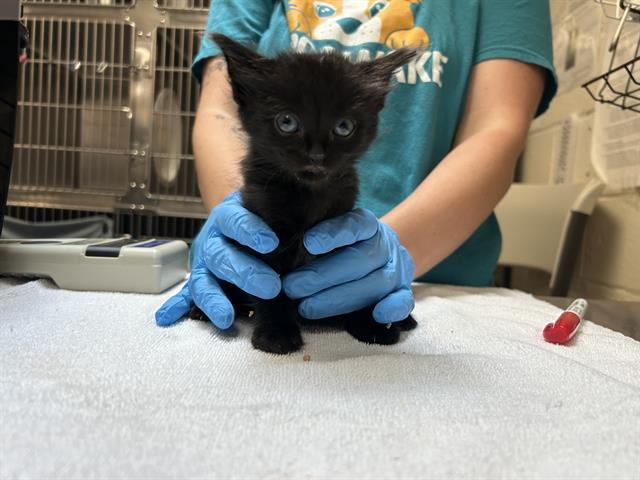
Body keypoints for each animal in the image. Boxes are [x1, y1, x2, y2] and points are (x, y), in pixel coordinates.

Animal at [192, 34, 418, 352]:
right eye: (287, 122)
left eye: (344, 126)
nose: (316, 155)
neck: (308, 196)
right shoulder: (264, 230)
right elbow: (271, 286)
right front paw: (276, 331)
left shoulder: (342, 224)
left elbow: (356, 279)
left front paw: (369, 321)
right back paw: (201, 307)